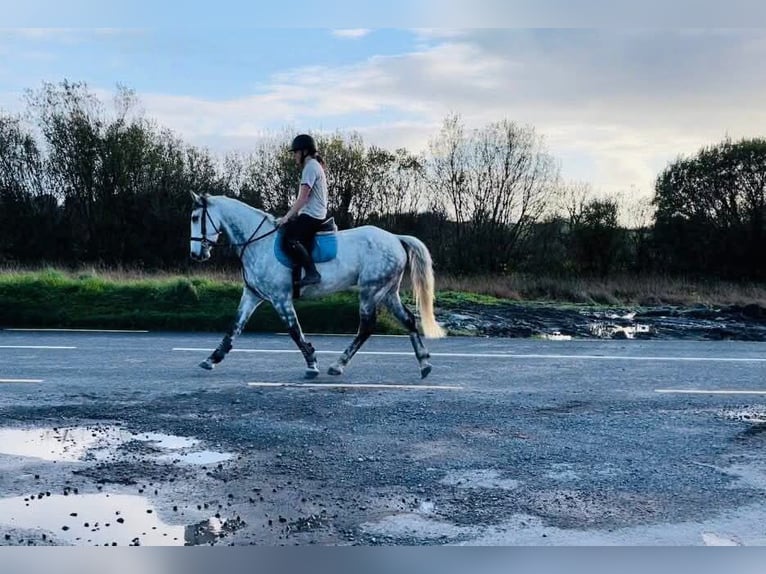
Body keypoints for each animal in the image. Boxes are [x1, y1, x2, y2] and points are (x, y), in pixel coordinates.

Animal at [189, 195, 448, 382]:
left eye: (194, 217)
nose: (195, 255)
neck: (257, 241)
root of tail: (395, 238)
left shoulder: (280, 297)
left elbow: (294, 330)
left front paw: (312, 363)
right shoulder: (253, 295)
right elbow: (235, 326)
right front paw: (212, 359)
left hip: (370, 291)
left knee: (366, 327)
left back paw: (338, 365)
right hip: (387, 292)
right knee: (408, 320)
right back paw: (424, 364)